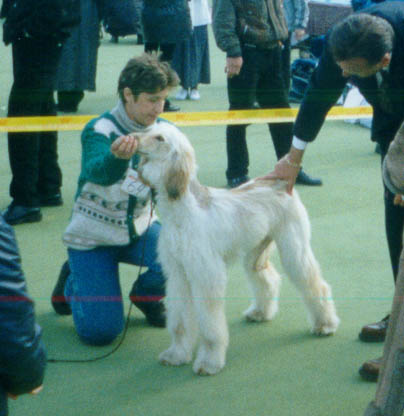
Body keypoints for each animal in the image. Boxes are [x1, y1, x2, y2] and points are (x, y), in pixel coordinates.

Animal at [135, 122, 338, 376]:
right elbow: (180, 321)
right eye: (148, 130)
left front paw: (209, 361)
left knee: (315, 284)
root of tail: (280, 182)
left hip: (294, 247)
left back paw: (325, 324)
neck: (183, 211)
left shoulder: (206, 276)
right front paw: (176, 354)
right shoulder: (178, 274)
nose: (134, 138)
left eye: (160, 138)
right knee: (268, 279)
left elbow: (210, 327)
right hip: (255, 250)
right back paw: (260, 312)